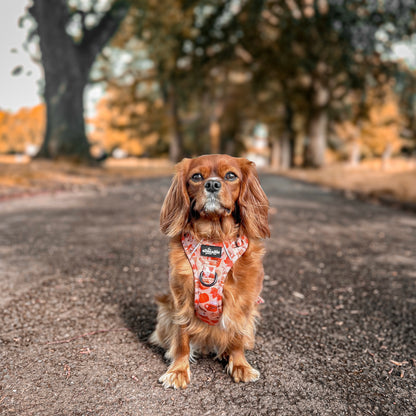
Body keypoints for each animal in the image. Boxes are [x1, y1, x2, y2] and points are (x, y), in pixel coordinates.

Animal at [150, 154, 270, 388]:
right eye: (197, 177)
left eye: (231, 176)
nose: (212, 184)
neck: (214, 237)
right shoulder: (182, 299)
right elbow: (182, 338)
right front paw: (178, 370)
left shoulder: (243, 301)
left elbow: (237, 336)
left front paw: (240, 364)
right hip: (165, 311)